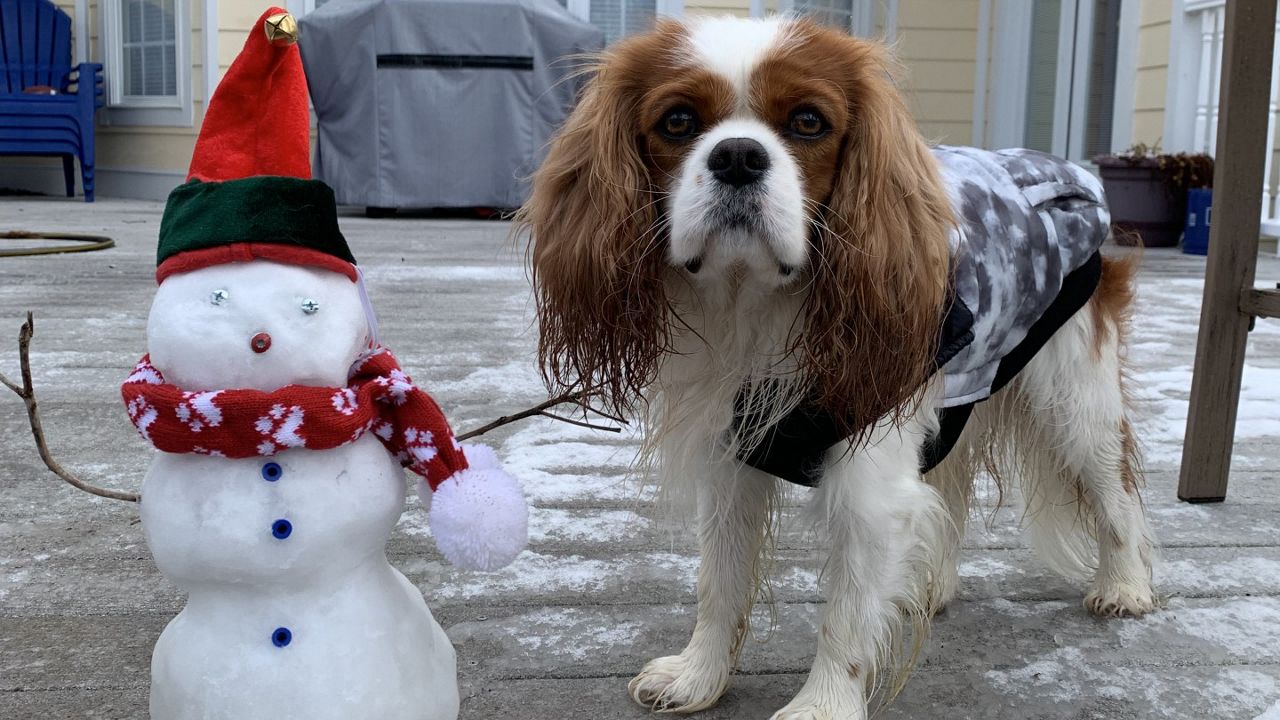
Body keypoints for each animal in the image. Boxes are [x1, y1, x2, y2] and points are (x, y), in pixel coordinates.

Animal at [514, 14, 1157, 712]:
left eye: (808, 122)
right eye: (678, 121)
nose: (737, 155)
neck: (753, 305)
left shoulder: (869, 478)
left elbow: (847, 614)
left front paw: (821, 707)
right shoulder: (732, 457)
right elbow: (719, 580)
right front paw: (699, 676)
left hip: (1076, 398)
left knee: (1115, 488)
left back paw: (1125, 585)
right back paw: (930, 589)